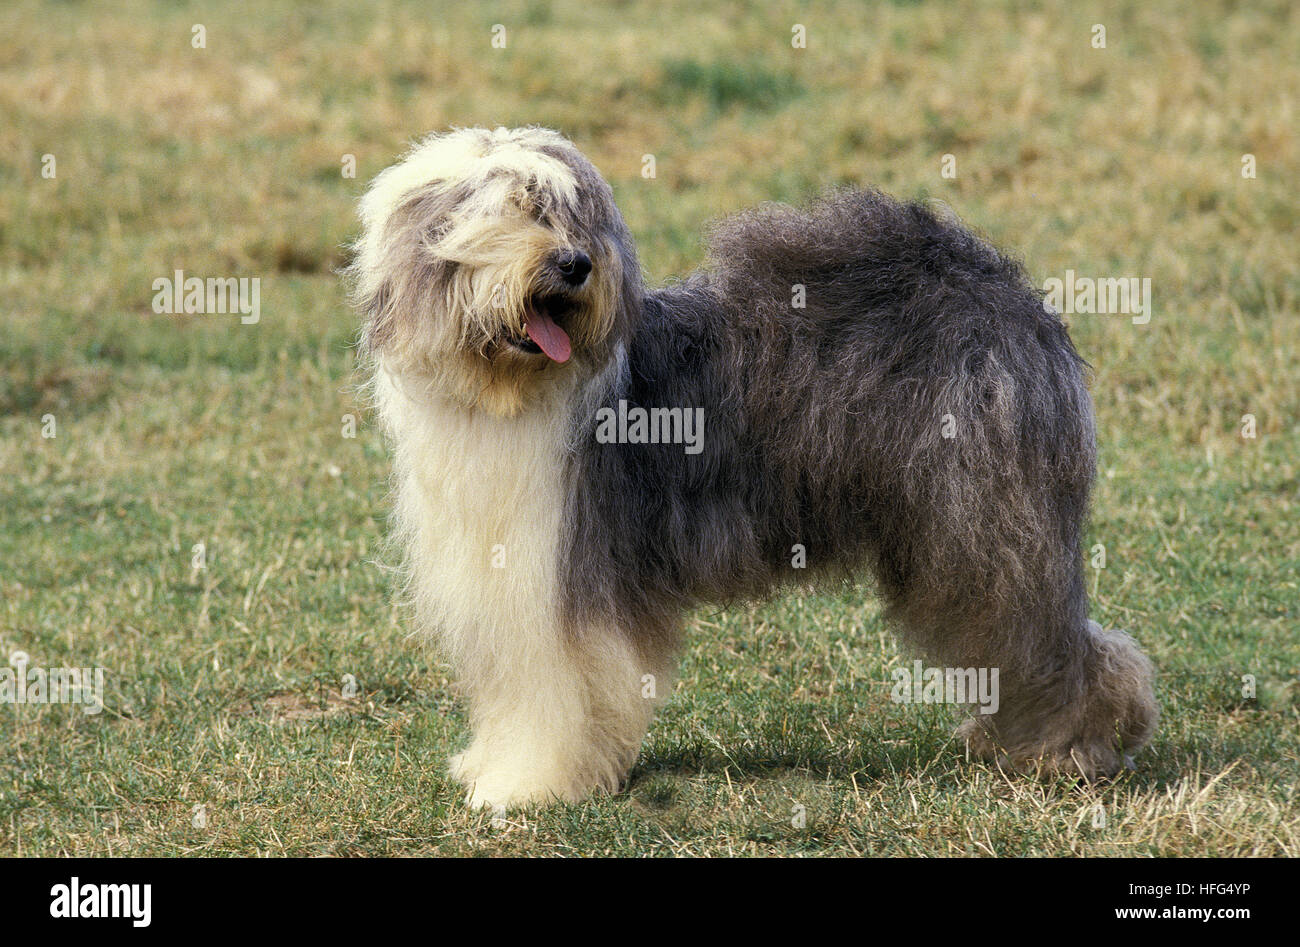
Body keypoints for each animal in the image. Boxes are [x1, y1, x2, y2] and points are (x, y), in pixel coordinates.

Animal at [348, 124, 1159, 806]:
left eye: (572, 217)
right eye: (515, 212)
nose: (575, 265)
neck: (509, 392)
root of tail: (1003, 288)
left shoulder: (563, 581)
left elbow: (554, 694)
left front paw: (528, 786)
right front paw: (493, 767)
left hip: (982, 527)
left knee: (1050, 639)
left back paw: (1071, 749)